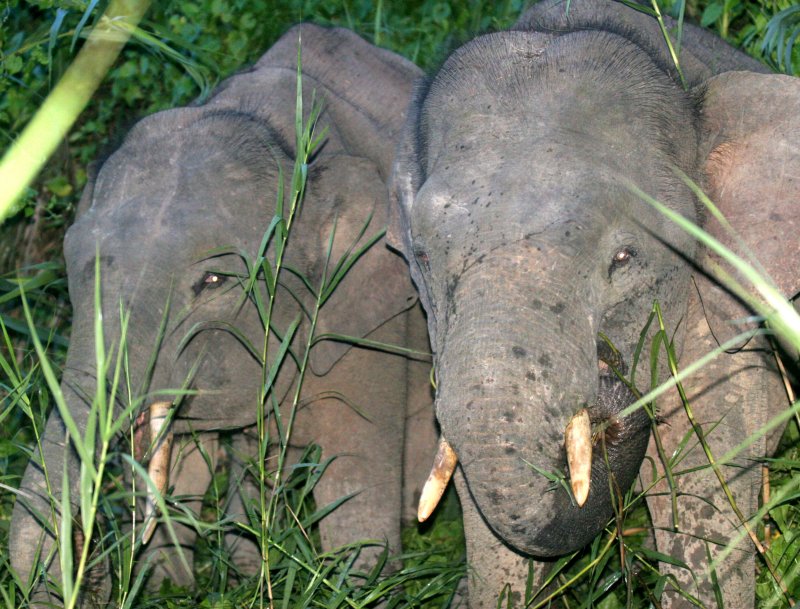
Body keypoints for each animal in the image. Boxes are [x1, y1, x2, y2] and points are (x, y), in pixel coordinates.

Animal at [10, 22, 438, 604]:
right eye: (75, 266)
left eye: (213, 281)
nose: (91, 557)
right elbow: (188, 460)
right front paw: (174, 585)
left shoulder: (366, 309)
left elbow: (356, 463)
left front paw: (361, 585)